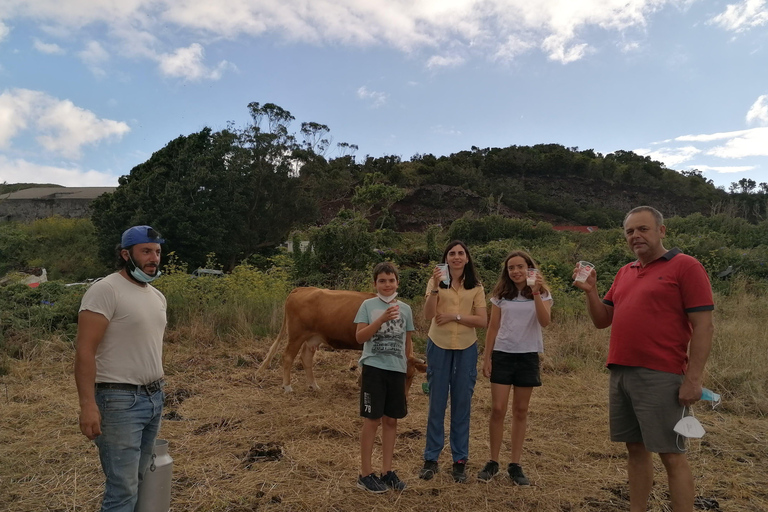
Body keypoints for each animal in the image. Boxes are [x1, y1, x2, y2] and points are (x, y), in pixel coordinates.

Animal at [256, 288, 426, 392]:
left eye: (411, 376)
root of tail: (303, 289)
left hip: (314, 337)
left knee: (306, 358)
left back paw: (314, 385)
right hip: (296, 335)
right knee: (287, 357)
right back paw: (287, 387)